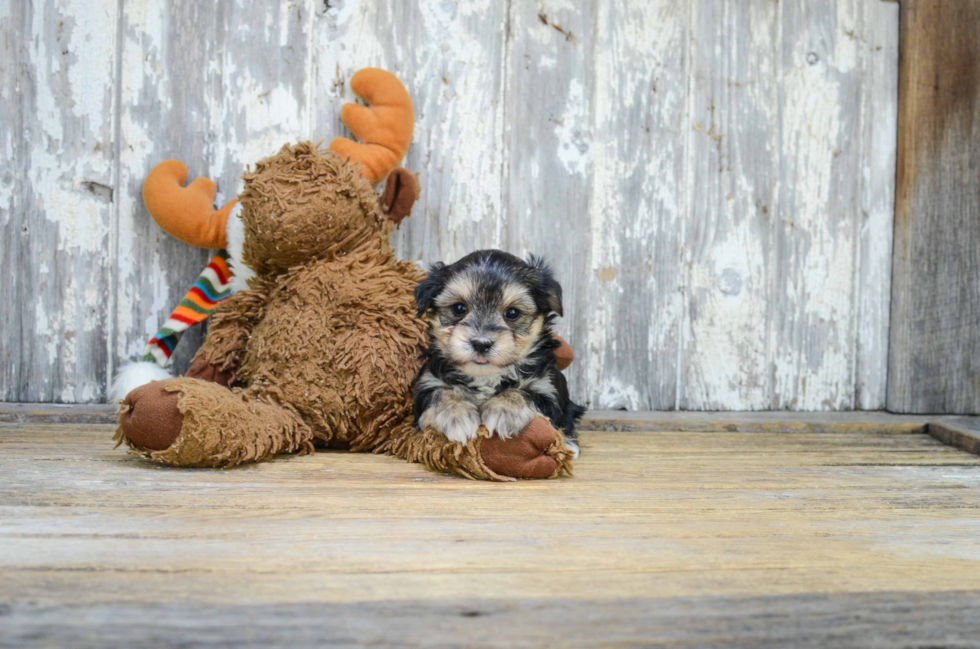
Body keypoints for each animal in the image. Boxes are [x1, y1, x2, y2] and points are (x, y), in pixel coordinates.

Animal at [412, 248, 580, 456]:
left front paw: (504, 412)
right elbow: (441, 393)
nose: (481, 343)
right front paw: (456, 416)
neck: (486, 376)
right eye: (459, 308)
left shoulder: (547, 389)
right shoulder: (427, 383)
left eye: (512, 313)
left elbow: (523, 393)